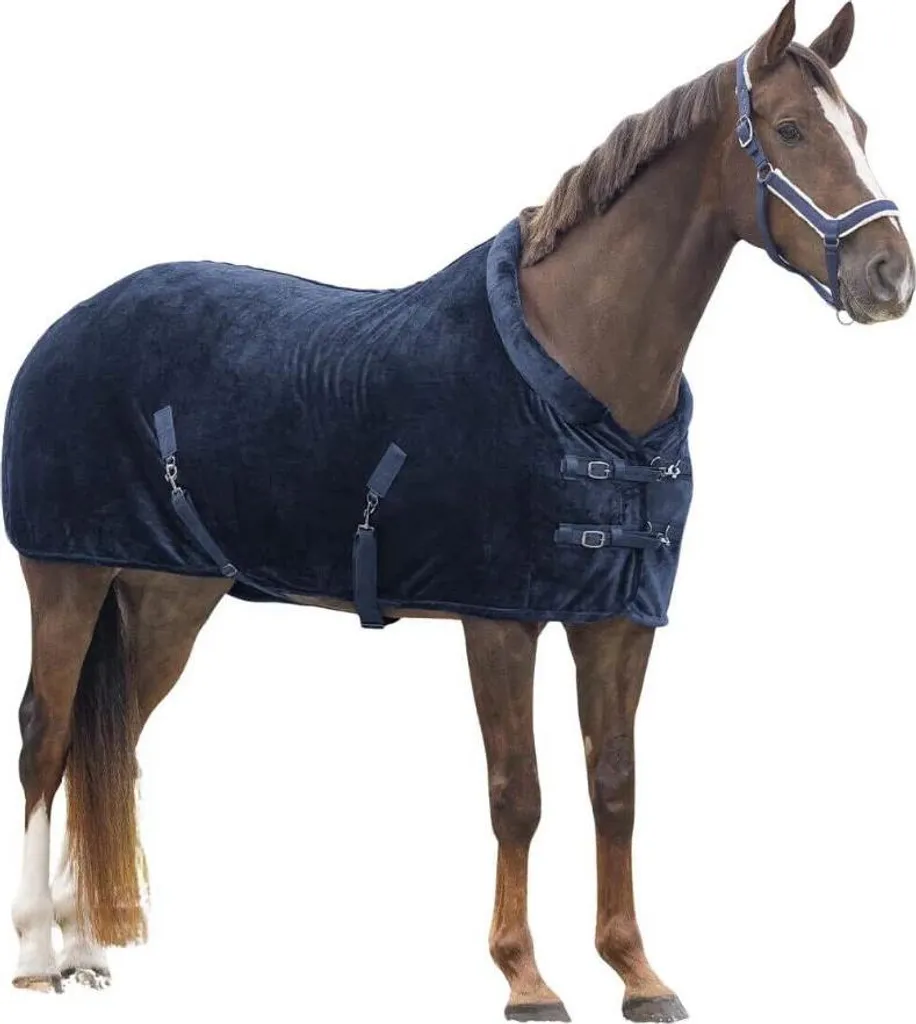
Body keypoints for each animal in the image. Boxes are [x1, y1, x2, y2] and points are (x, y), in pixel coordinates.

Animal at [4, 2, 912, 1020]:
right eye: (791, 131)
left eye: (861, 129)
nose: (890, 275)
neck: (577, 373)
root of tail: (71, 324)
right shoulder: (499, 618)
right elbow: (518, 794)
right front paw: (526, 978)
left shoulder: (618, 622)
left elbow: (616, 788)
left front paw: (638, 974)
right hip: (67, 578)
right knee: (47, 740)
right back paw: (38, 950)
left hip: (167, 598)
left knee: (109, 743)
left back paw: (87, 947)